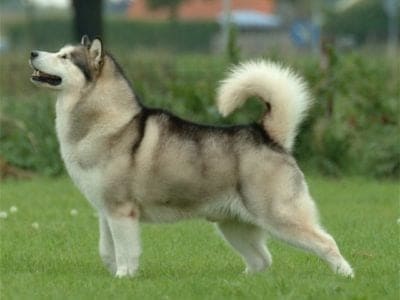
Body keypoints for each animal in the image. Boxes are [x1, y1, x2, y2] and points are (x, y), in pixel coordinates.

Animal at [28, 35, 354, 278]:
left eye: (65, 57)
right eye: (58, 52)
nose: (33, 52)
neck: (109, 122)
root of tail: (267, 134)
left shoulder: (122, 211)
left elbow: (125, 250)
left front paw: (124, 277)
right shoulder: (105, 210)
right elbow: (106, 249)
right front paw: (115, 274)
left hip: (279, 215)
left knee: (327, 242)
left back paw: (345, 276)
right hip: (234, 225)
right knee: (263, 260)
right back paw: (242, 282)